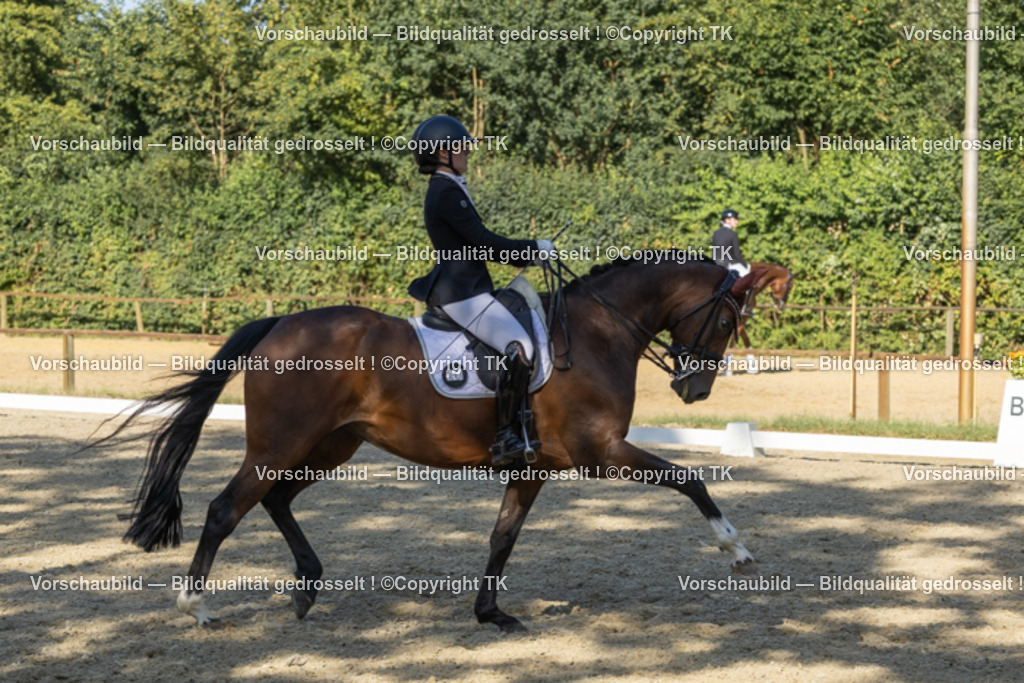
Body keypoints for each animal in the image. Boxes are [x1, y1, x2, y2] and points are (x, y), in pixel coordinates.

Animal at [102, 252, 763, 632]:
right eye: (726, 321)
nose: (696, 390)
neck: (598, 331)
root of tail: (281, 323)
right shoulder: (600, 453)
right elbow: (689, 478)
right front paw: (735, 550)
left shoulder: (534, 467)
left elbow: (503, 536)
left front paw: (491, 614)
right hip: (279, 445)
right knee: (225, 510)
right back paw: (196, 606)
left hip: (329, 446)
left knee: (276, 501)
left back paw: (308, 587)